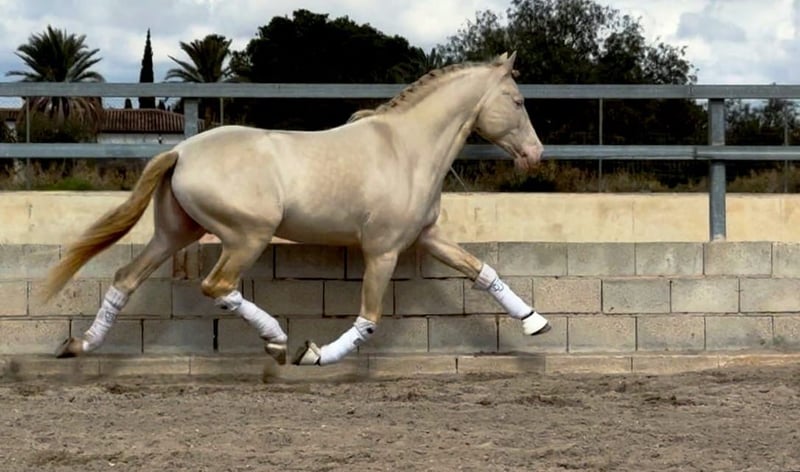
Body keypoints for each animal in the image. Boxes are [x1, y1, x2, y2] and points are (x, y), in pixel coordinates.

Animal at [42, 51, 551, 366]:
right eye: (518, 101)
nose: (535, 154)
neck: (406, 149)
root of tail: (181, 151)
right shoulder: (383, 249)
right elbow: (368, 318)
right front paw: (317, 354)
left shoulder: (426, 236)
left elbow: (480, 270)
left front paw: (535, 323)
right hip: (247, 235)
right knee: (217, 285)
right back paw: (277, 340)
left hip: (175, 234)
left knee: (126, 278)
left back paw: (79, 344)